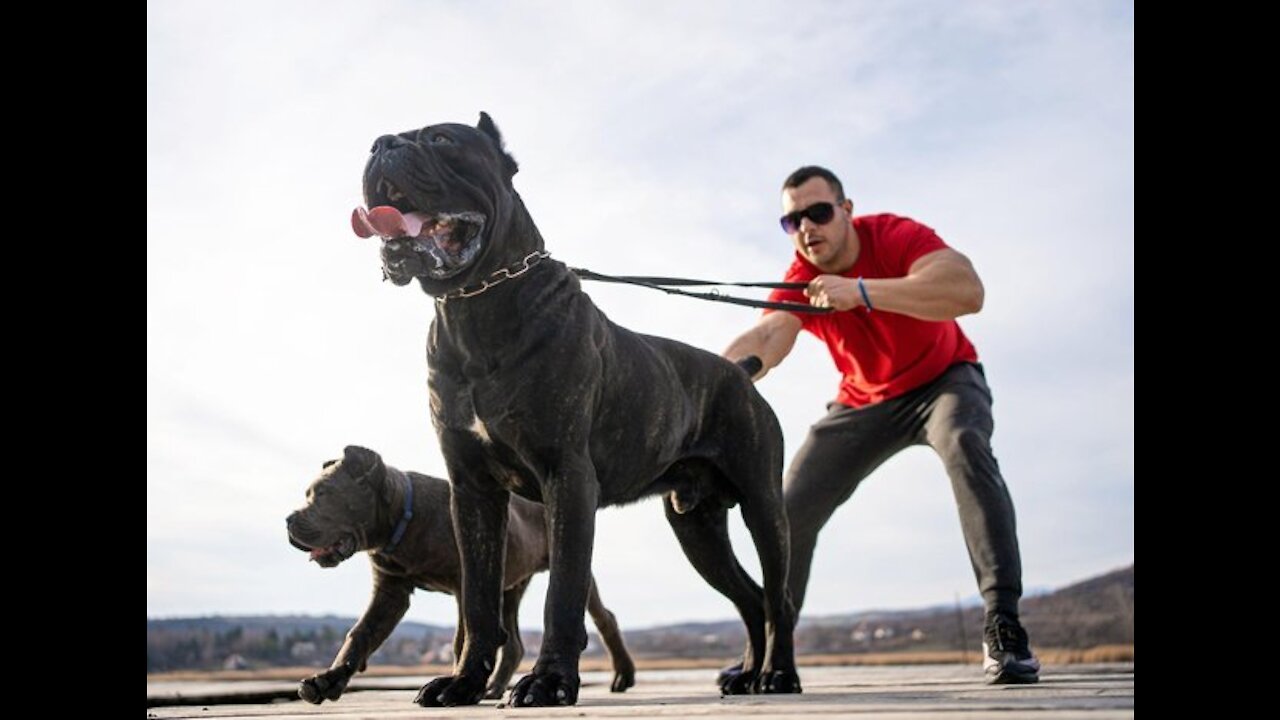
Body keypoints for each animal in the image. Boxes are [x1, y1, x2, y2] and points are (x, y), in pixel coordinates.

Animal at [353, 114, 798, 702]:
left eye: (442, 139)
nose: (380, 144)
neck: (475, 304)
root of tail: (740, 373)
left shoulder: (566, 474)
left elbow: (562, 591)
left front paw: (549, 682)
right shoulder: (472, 490)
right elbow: (477, 599)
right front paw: (464, 682)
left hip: (762, 504)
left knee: (778, 595)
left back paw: (779, 674)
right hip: (697, 525)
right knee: (749, 596)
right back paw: (747, 674)